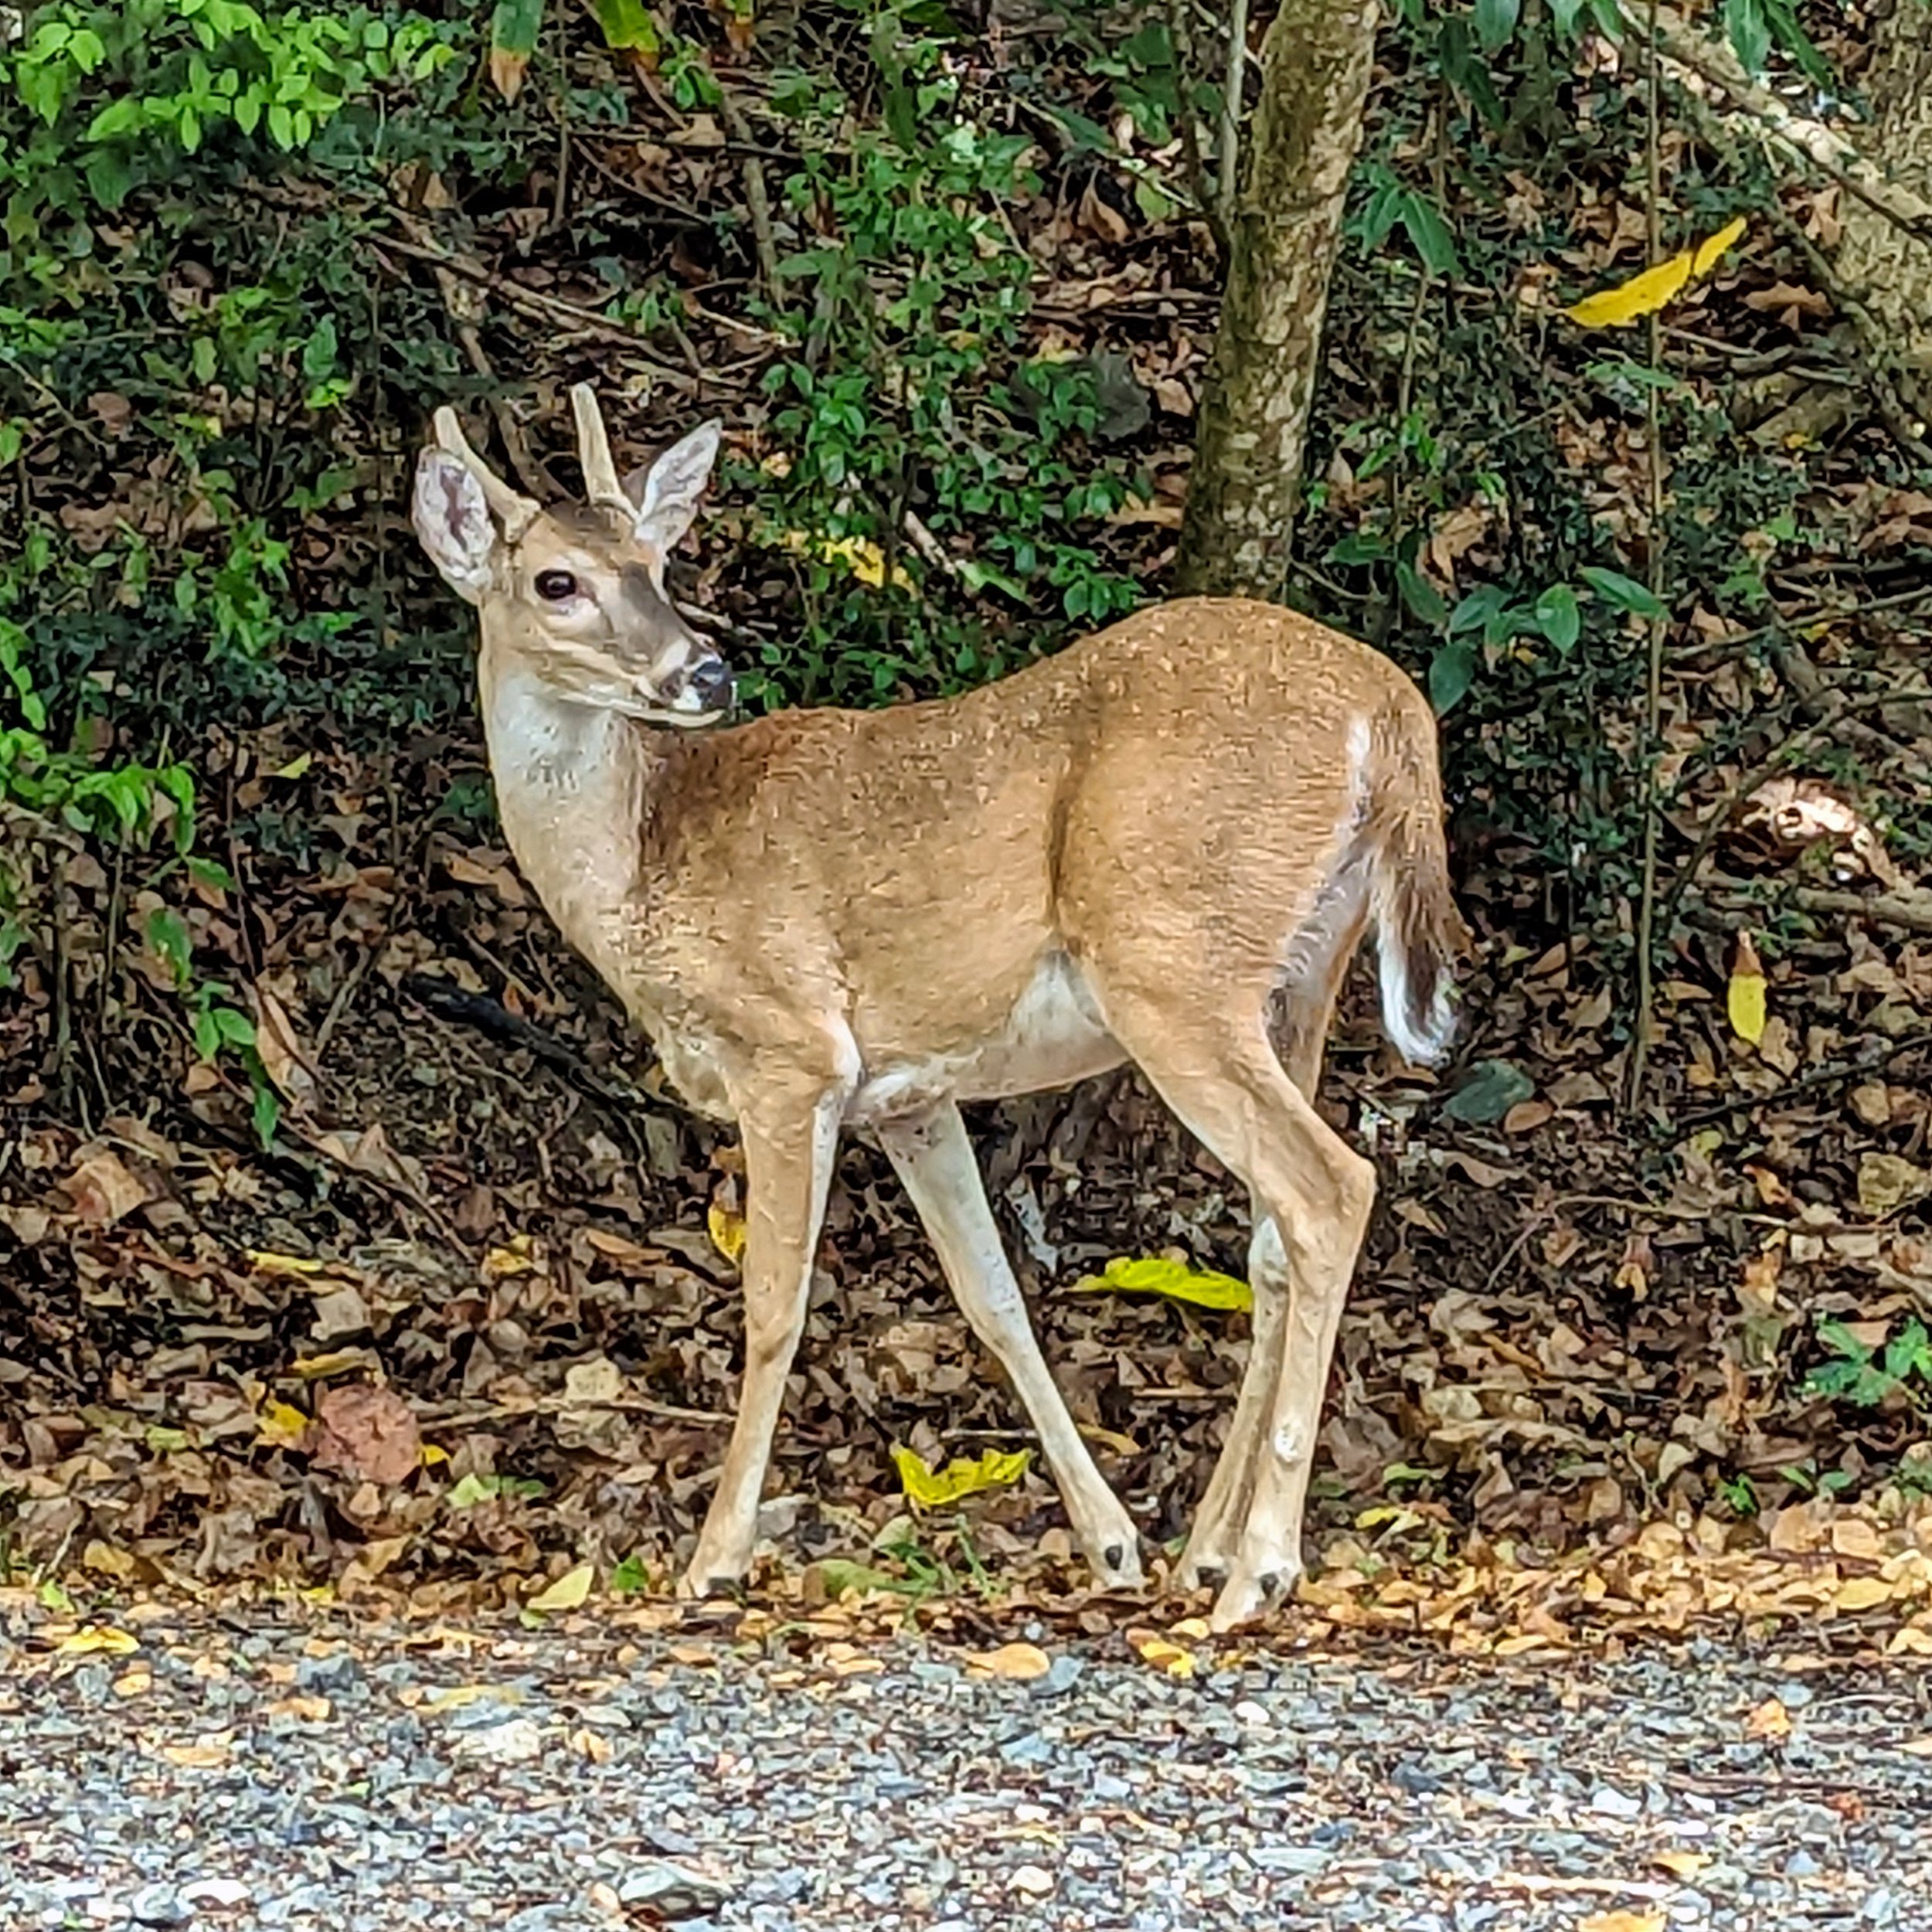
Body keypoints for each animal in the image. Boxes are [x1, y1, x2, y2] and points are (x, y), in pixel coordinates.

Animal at [410, 384, 1465, 1631]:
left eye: (656, 561)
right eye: (556, 581)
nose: (703, 672)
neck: (643, 865)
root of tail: (1390, 711)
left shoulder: (791, 1050)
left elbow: (773, 1305)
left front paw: (714, 1558)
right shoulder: (907, 1093)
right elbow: (991, 1295)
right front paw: (1110, 1542)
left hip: (1171, 965)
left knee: (1329, 1189)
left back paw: (1260, 1567)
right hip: (1298, 971)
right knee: (1271, 1239)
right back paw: (1203, 1551)